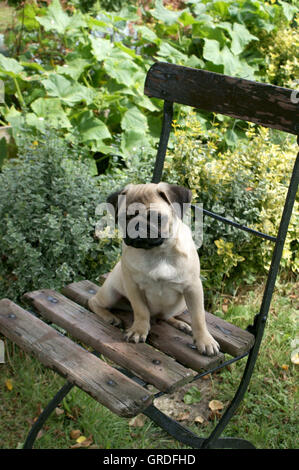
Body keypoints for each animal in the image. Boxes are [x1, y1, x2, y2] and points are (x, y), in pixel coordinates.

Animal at [89, 182, 220, 354]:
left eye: (157, 218)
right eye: (125, 218)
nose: (137, 225)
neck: (158, 252)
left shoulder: (193, 288)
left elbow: (198, 317)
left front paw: (205, 340)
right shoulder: (133, 287)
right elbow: (141, 310)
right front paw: (139, 330)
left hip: (181, 305)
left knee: (165, 316)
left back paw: (180, 324)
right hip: (110, 293)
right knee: (93, 302)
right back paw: (110, 317)